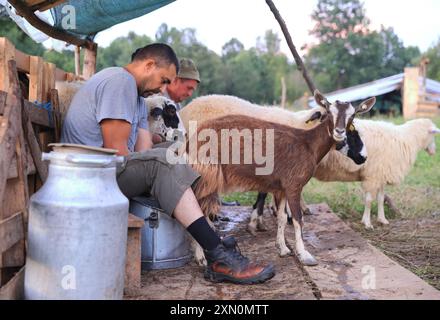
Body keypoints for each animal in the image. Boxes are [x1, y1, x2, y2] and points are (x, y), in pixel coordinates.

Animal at [186, 90, 374, 264]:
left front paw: (282, 248)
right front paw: (304, 254)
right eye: (329, 112)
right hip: (207, 175)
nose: (339, 132)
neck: (308, 143)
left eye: (352, 116)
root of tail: (191, 141)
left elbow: (282, 218)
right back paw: (201, 257)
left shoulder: (281, 188)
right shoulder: (293, 185)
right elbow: (298, 219)